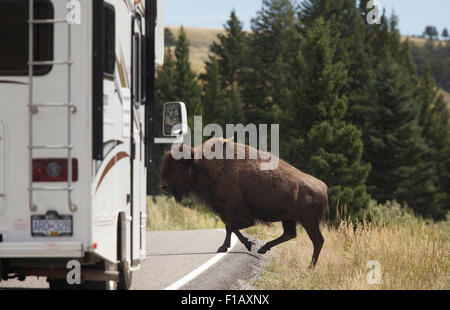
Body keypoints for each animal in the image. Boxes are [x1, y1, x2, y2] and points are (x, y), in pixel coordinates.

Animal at [160, 137, 328, 268]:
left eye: (179, 166)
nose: (163, 186)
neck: (201, 165)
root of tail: (324, 187)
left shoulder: (235, 209)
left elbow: (232, 226)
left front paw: (233, 246)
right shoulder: (225, 209)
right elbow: (230, 227)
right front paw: (243, 244)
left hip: (308, 222)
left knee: (317, 240)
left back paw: (310, 267)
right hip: (289, 219)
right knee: (290, 234)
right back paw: (263, 249)